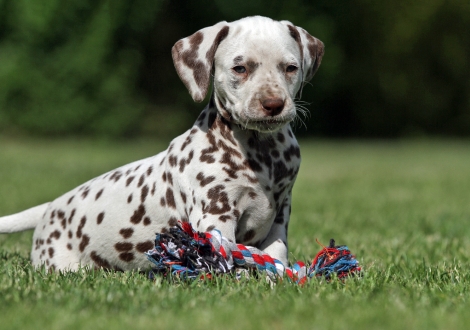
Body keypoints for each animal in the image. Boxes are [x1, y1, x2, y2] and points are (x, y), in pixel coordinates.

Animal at [0, 16, 324, 270]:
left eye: (290, 68)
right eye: (240, 68)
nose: (274, 104)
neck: (261, 152)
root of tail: (50, 207)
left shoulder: (280, 212)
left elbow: (275, 253)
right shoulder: (215, 217)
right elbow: (231, 258)